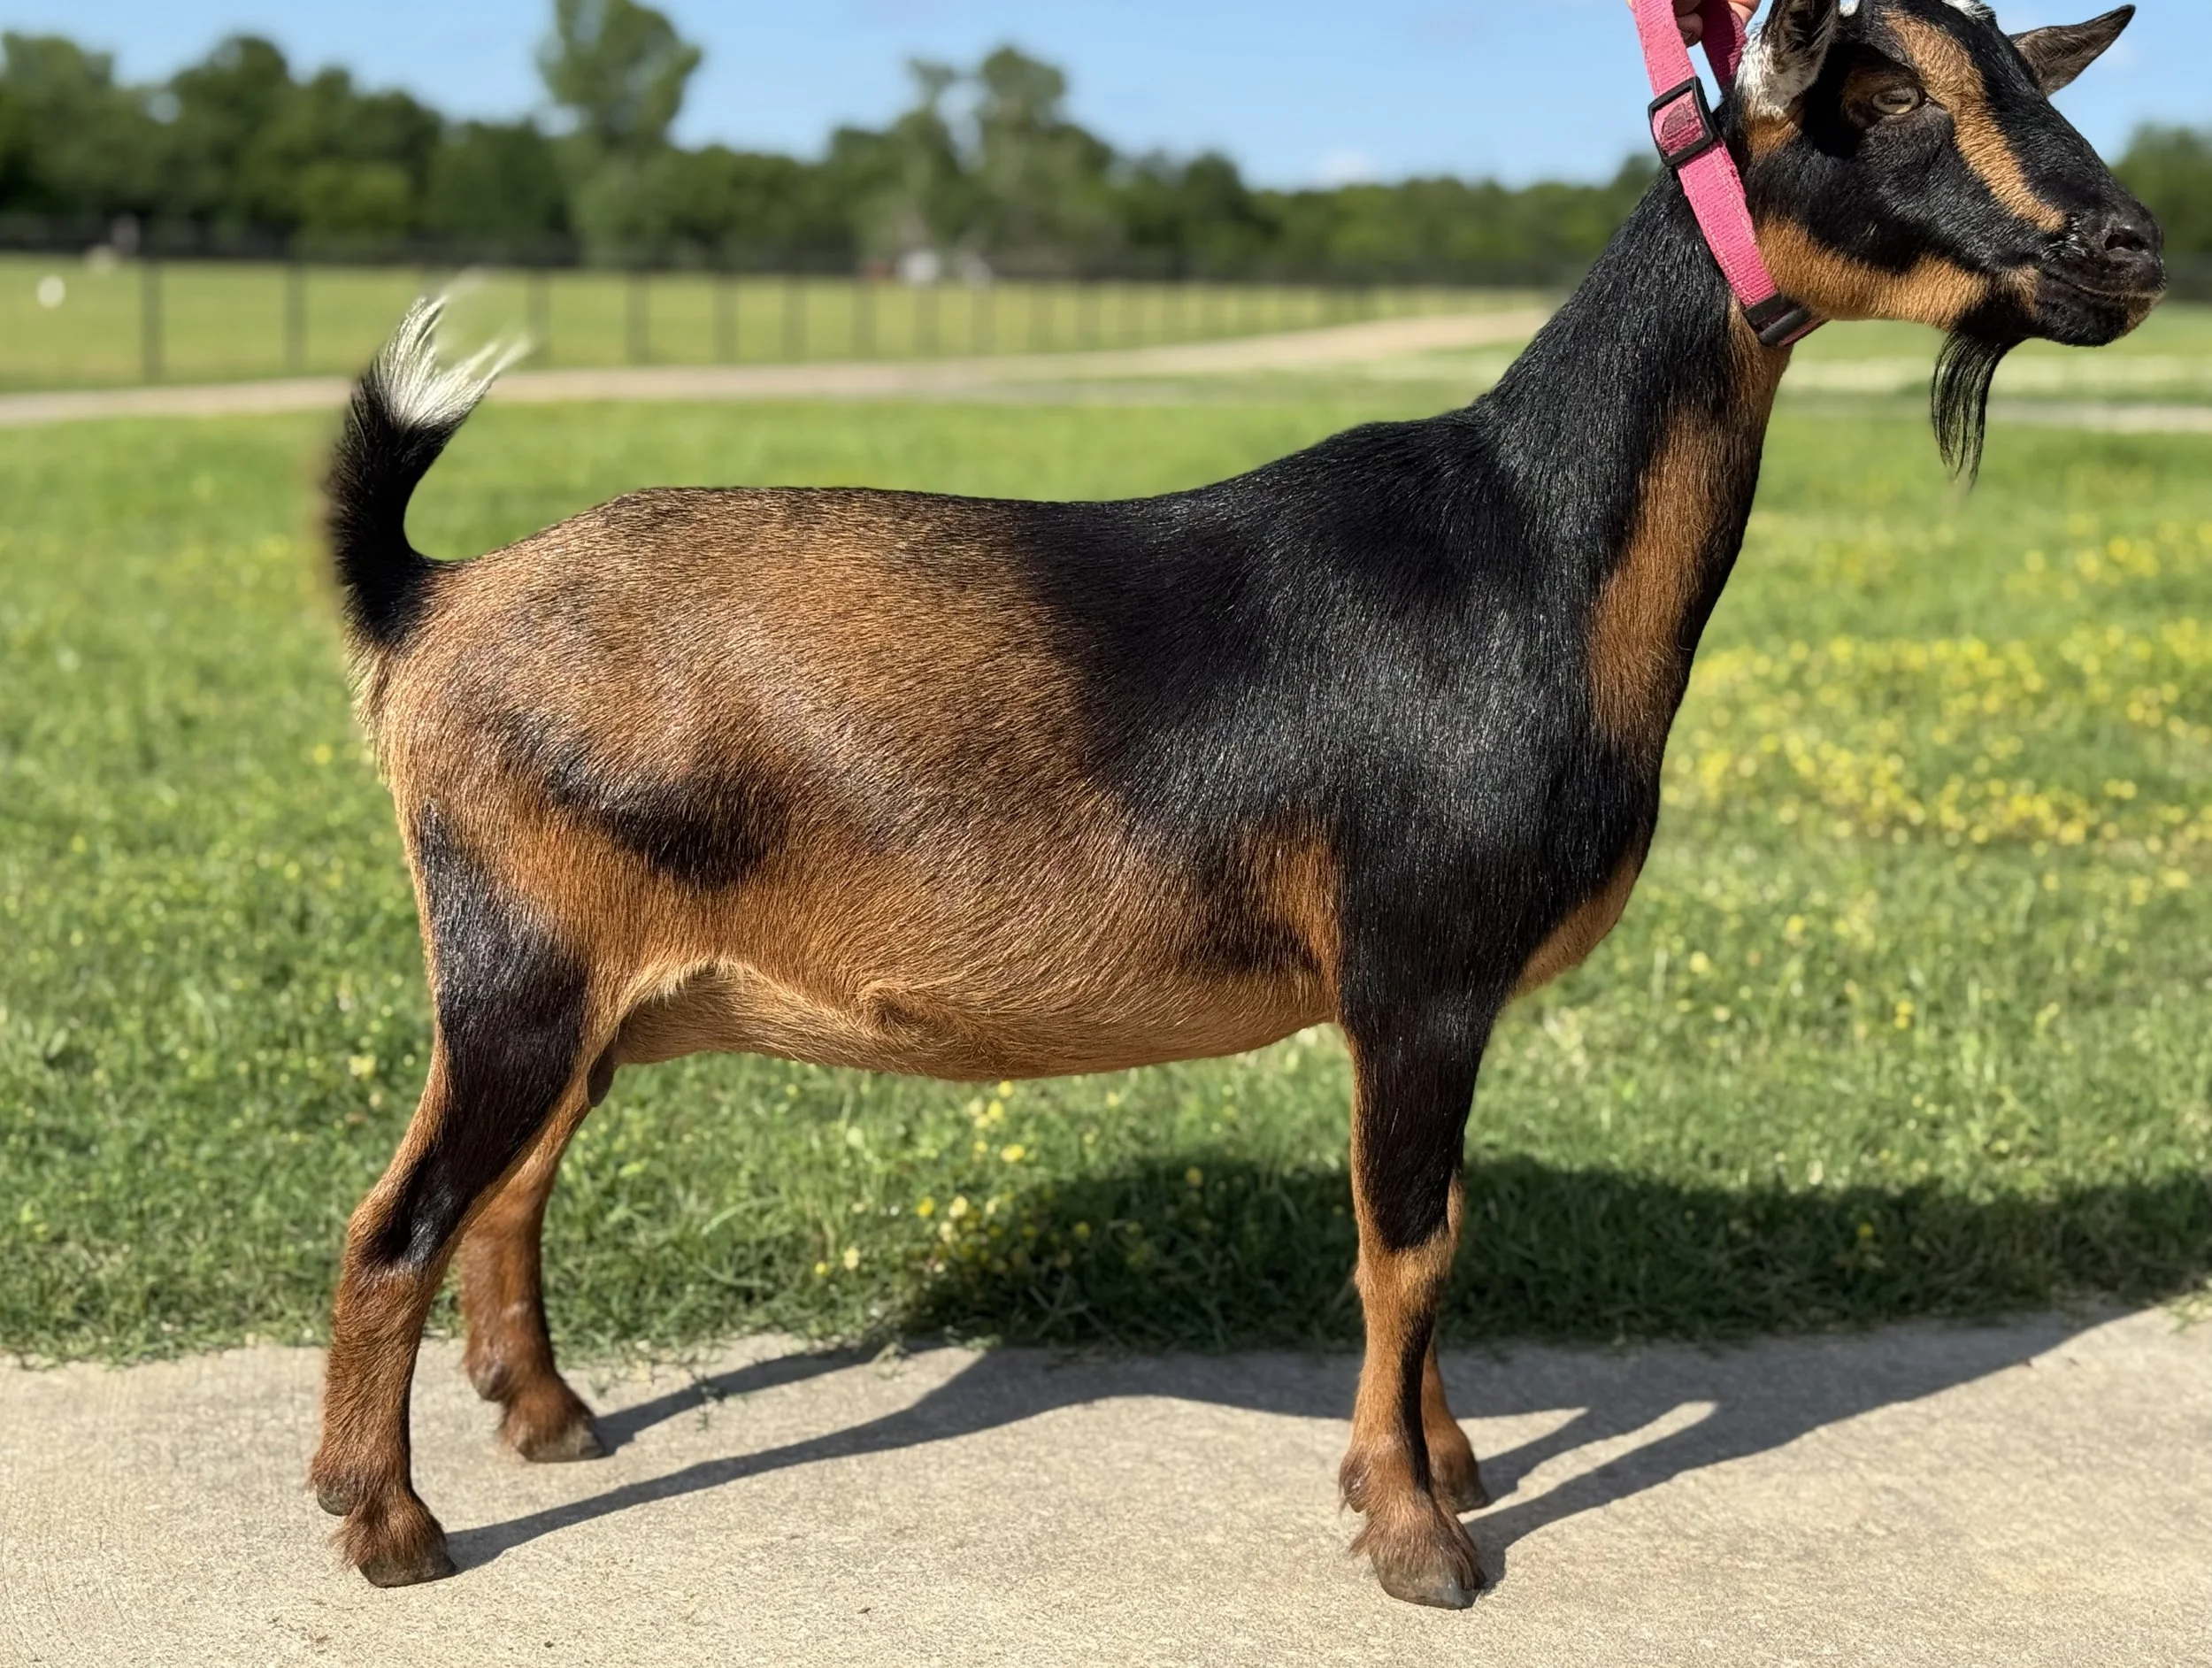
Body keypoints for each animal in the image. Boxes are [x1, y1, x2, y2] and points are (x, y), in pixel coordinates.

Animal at [309, 0, 2159, 1608]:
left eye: (2020, 63)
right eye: (1889, 92)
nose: (2129, 246)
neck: (1521, 550)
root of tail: (432, 600)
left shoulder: (1433, 1001)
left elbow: (1434, 1229)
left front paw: (1436, 1464)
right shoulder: (1417, 969)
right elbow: (1405, 1244)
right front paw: (1420, 1538)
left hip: (593, 982)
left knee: (508, 1188)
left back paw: (546, 1423)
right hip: (524, 961)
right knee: (400, 1221)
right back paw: (390, 1525)